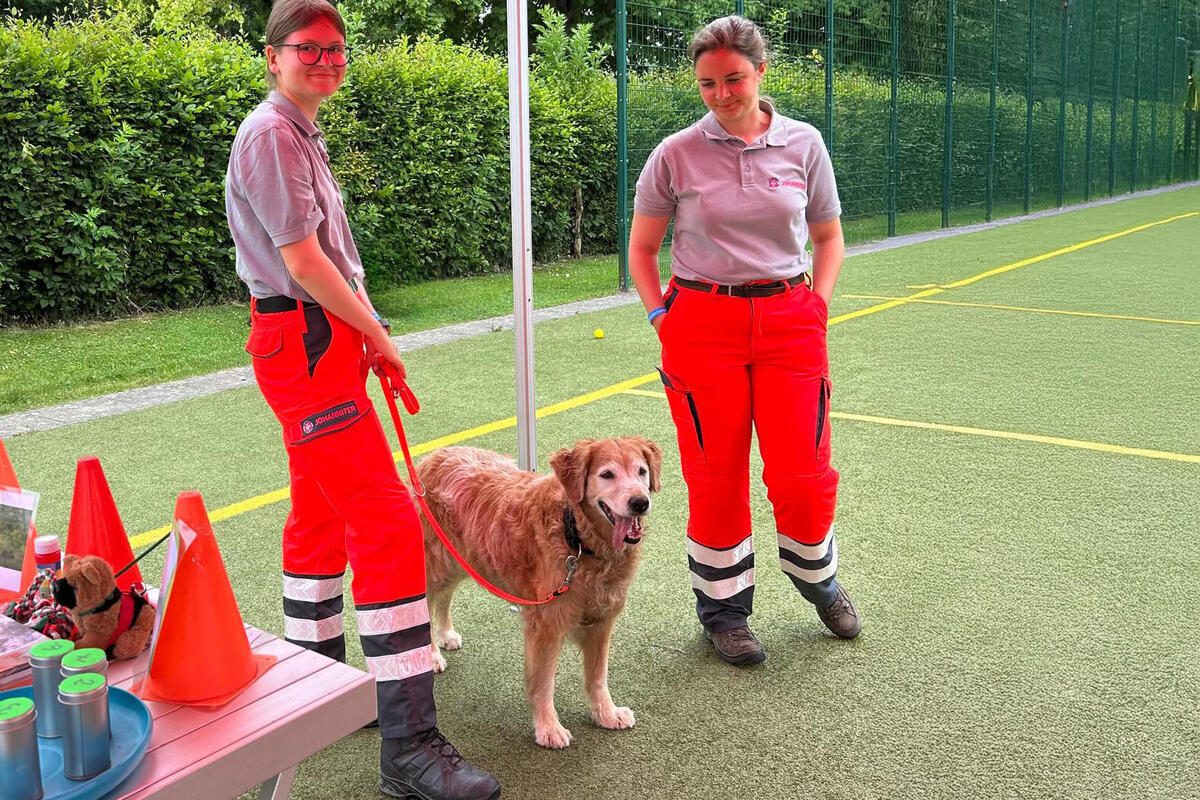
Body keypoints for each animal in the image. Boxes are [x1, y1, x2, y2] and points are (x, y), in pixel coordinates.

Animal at [418, 436, 662, 749]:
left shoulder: (601, 621)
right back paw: (430, 654)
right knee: (423, 606)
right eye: (607, 474)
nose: (640, 503)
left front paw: (606, 713)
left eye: (642, 471)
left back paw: (446, 634)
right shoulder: (546, 626)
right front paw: (548, 727)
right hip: (433, 566)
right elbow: (544, 683)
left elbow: (597, 676)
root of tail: (434, 455)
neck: (577, 537)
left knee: (444, 598)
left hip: (459, 560)